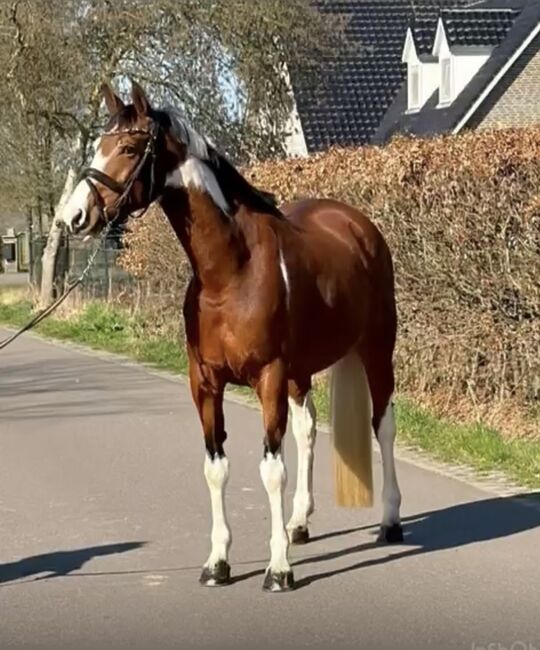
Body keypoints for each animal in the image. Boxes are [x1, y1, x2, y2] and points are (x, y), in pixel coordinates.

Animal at [58, 81, 403, 592]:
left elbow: (271, 471)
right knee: (307, 430)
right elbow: (216, 468)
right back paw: (299, 524)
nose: (75, 216)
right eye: (98, 144)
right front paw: (218, 562)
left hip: (376, 351)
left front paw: (278, 570)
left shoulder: (269, 377)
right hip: (302, 372)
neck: (229, 274)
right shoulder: (204, 382)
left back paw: (390, 521)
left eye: (129, 148)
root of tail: (358, 225)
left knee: (383, 426)